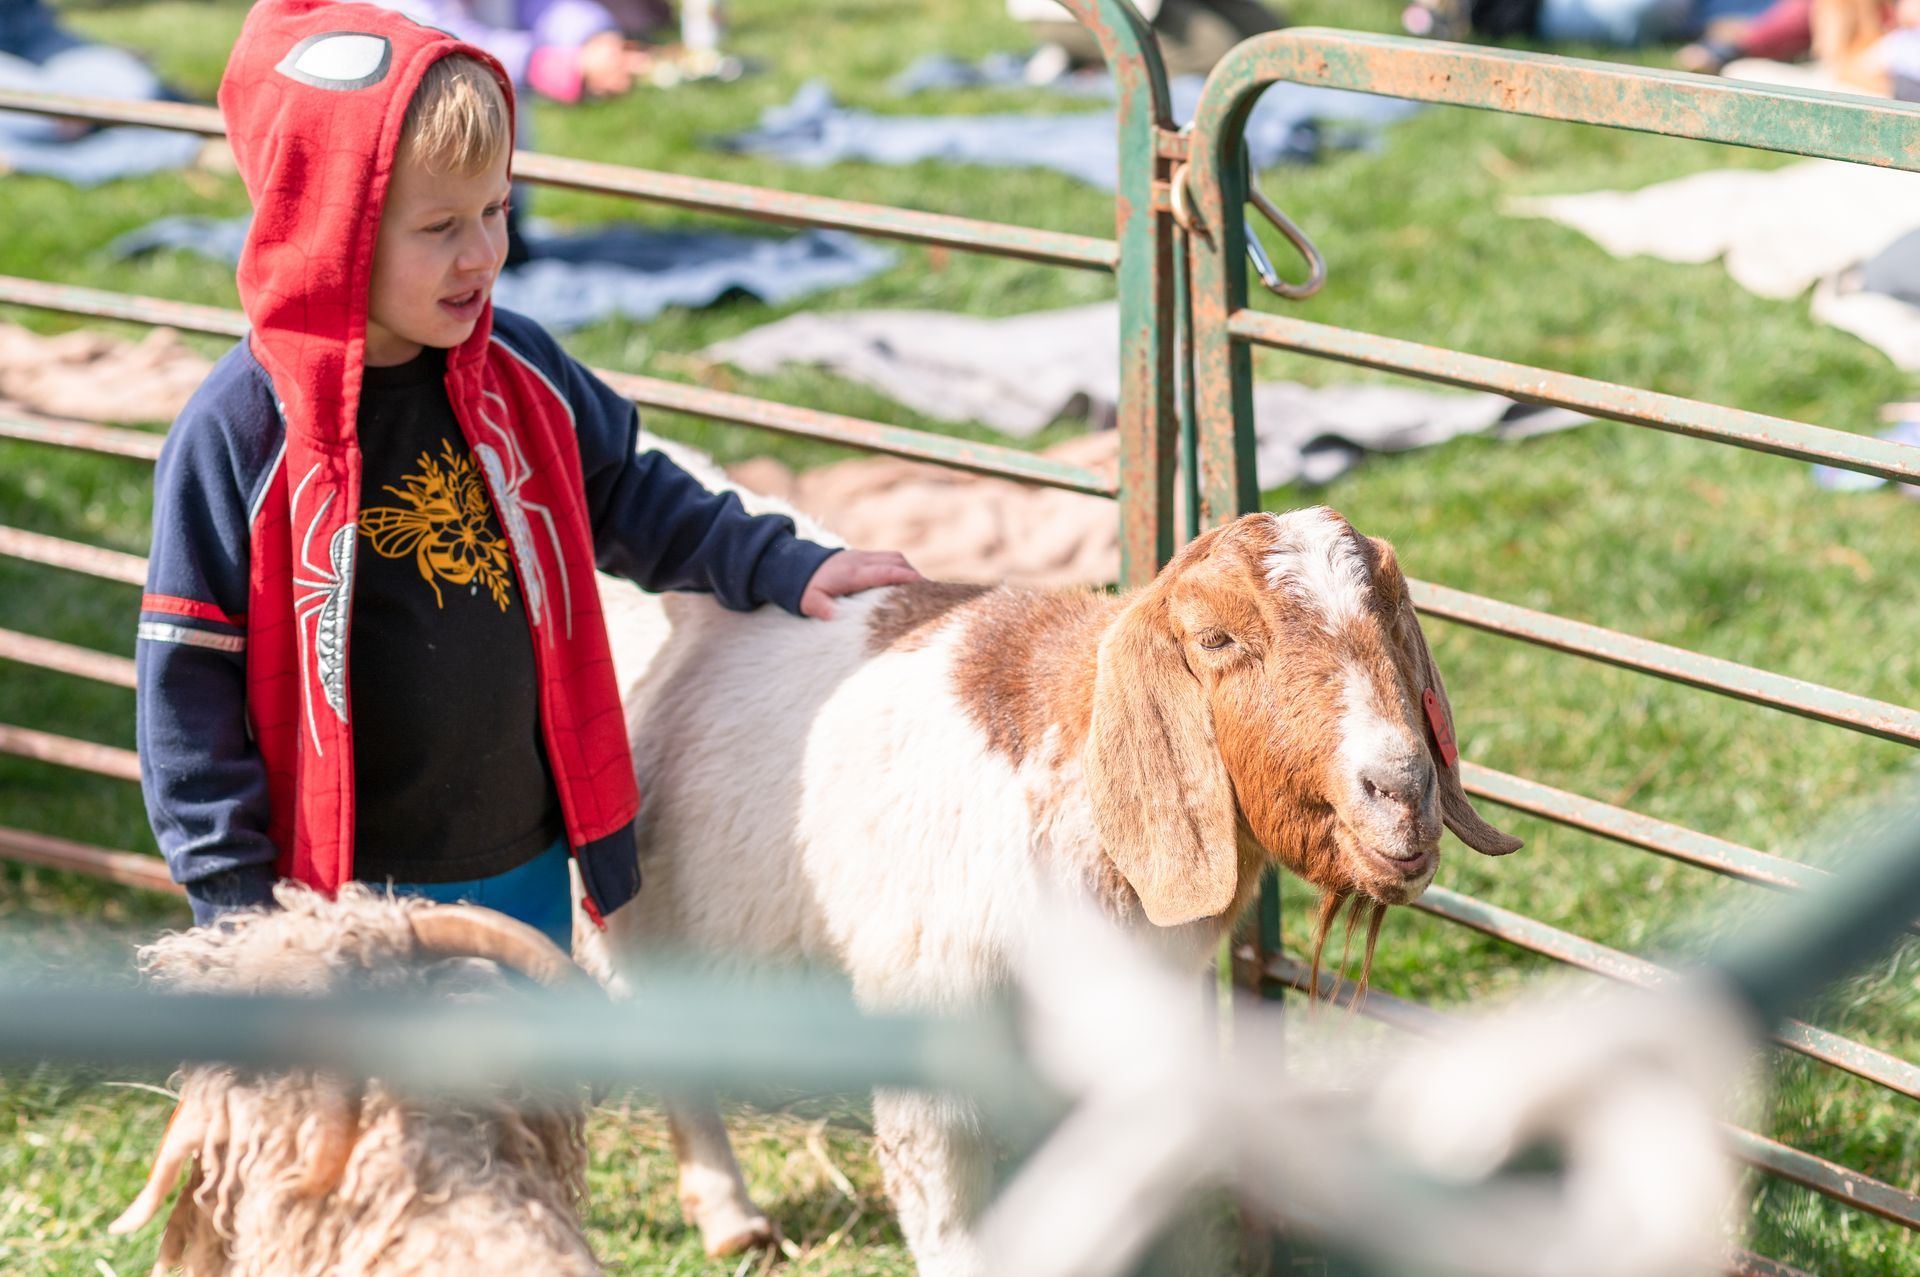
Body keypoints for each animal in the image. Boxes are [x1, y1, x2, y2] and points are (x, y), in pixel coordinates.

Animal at [596, 471, 1521, 1274]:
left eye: (1393, 617)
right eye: (1216, 638)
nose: (1400, 787)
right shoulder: (927, 1034)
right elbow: (949, 1221)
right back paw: (730, 1215)